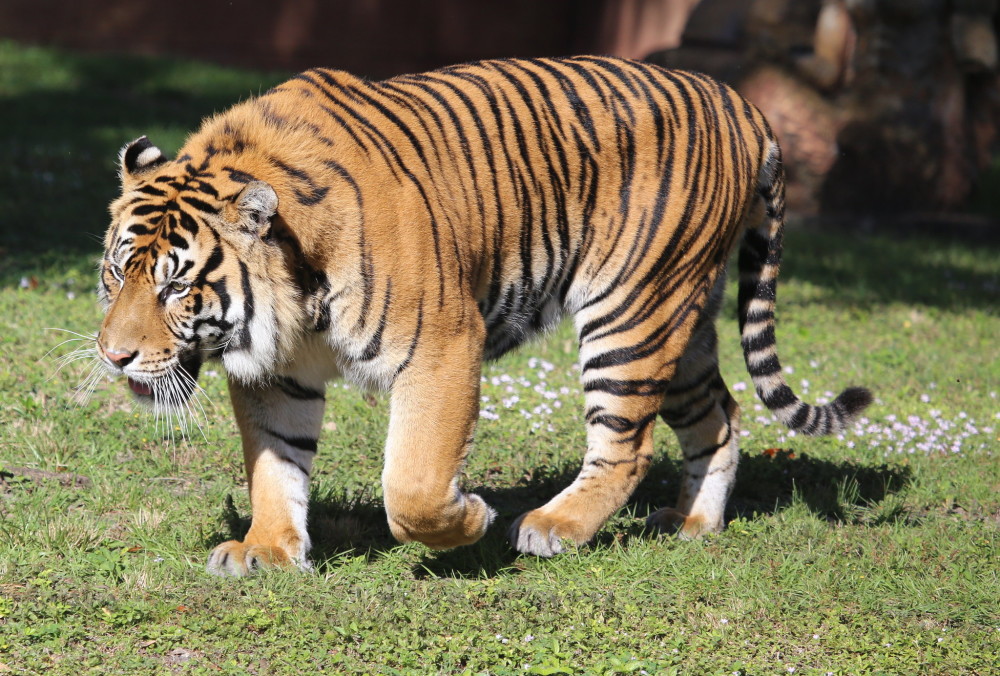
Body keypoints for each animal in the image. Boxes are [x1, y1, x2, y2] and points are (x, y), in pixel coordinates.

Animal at [97, 56, 872, 576]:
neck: (294, 283)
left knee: (627, 443)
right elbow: (273, 463)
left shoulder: (442, 345)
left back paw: (553, 525)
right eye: (114, 275)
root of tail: (742, 102)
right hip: (682, 321)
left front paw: (469, 518)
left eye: (175, 287)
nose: (114, 356)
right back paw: (692, 524)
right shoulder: (277, 371)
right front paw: (265, 550)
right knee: (721, 417)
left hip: (630, 313)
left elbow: (411, 484)